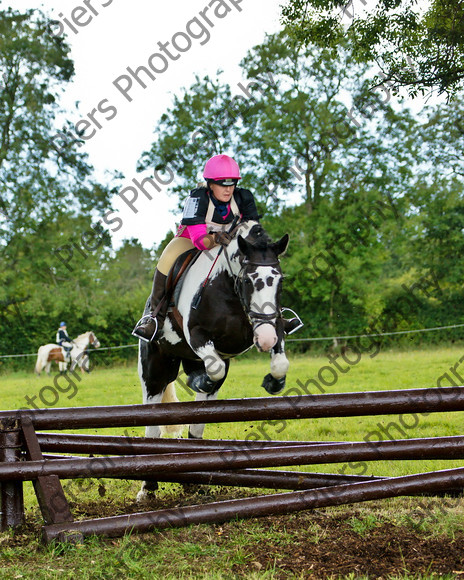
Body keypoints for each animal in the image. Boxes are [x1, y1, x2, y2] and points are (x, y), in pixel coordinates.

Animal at [137, 220, 290, 500]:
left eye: (280, 280)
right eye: (249, 280)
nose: (264, 339)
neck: (229, 288)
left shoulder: (273, 325)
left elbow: (279, 362)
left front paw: (273, 382)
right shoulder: (197, 334)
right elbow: (215, 367)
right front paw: (198, 380)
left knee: (199, 417)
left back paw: (195, 481)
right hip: (154, 369)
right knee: (152, 413)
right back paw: (147, 488)